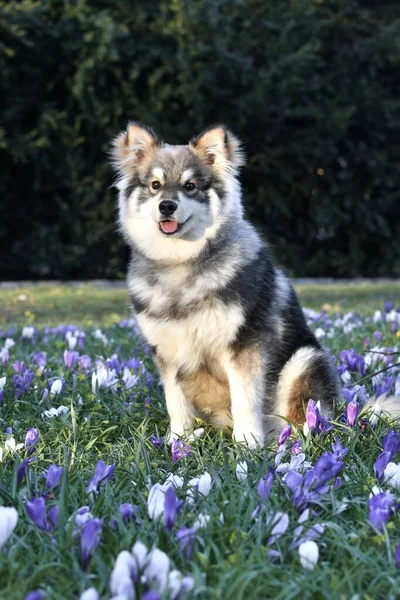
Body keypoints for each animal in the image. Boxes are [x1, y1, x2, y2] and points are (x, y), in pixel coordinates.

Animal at [111, 120, 342, 446]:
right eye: (155, 185)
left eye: (190, 186)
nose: (166, 206)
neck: (180, 263)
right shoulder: (167, 352)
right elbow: (175, 404)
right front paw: (178, 442)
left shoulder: (243, 347)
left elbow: (245, 400)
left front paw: (247, 445)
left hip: (304, 360)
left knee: (301, 417)